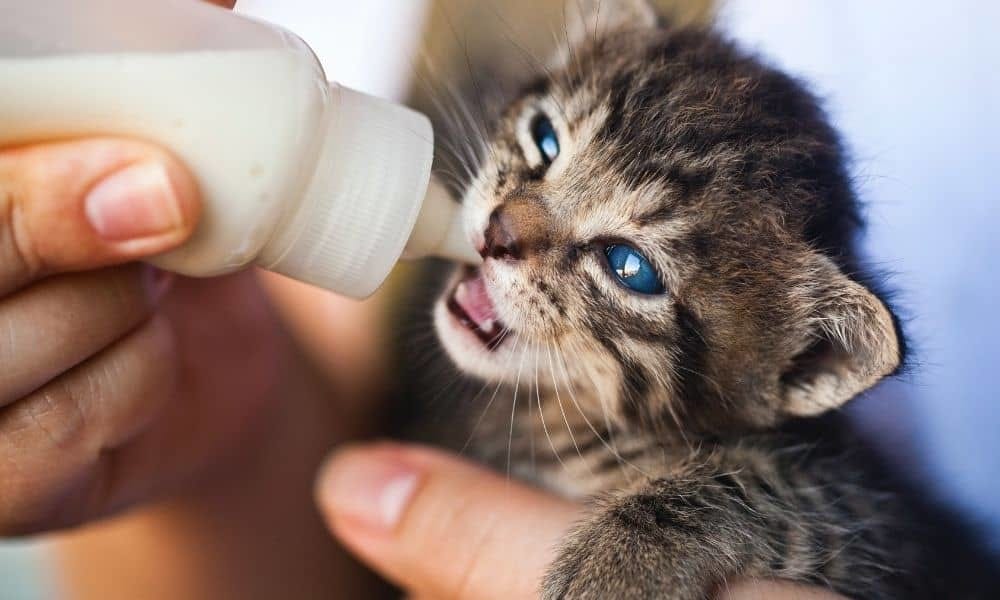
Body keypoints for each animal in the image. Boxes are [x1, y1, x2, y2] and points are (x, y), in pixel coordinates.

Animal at [400, 2, 1000, 596]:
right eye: (544, 138)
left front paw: (616, 563)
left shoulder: (879, 534)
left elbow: (767, 486)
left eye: (629, 268)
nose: (496, 233)